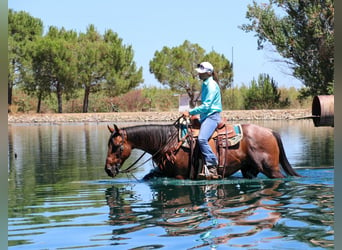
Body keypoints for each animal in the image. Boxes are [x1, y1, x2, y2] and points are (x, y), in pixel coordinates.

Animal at [104, 120, 300, 180]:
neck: (167, 142)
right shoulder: (163, 173)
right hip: (249, 169)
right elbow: (148, 176)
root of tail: (270, 131)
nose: (108, 169)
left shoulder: (179, 176)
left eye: (117, 147)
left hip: (271, 168)